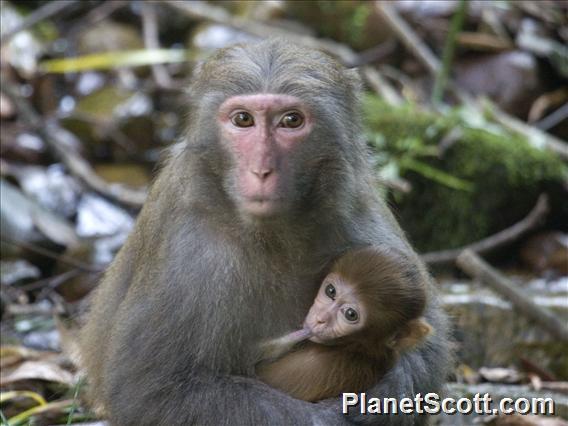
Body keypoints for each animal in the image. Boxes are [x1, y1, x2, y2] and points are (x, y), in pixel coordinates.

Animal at [81, 38, 452, 424]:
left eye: (291, 121)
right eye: (243, 119)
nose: (261, 170)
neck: (270, 233)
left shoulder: (355, 208)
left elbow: (428, 344)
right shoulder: (189, 246)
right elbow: (154, 390)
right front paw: (337, 416)